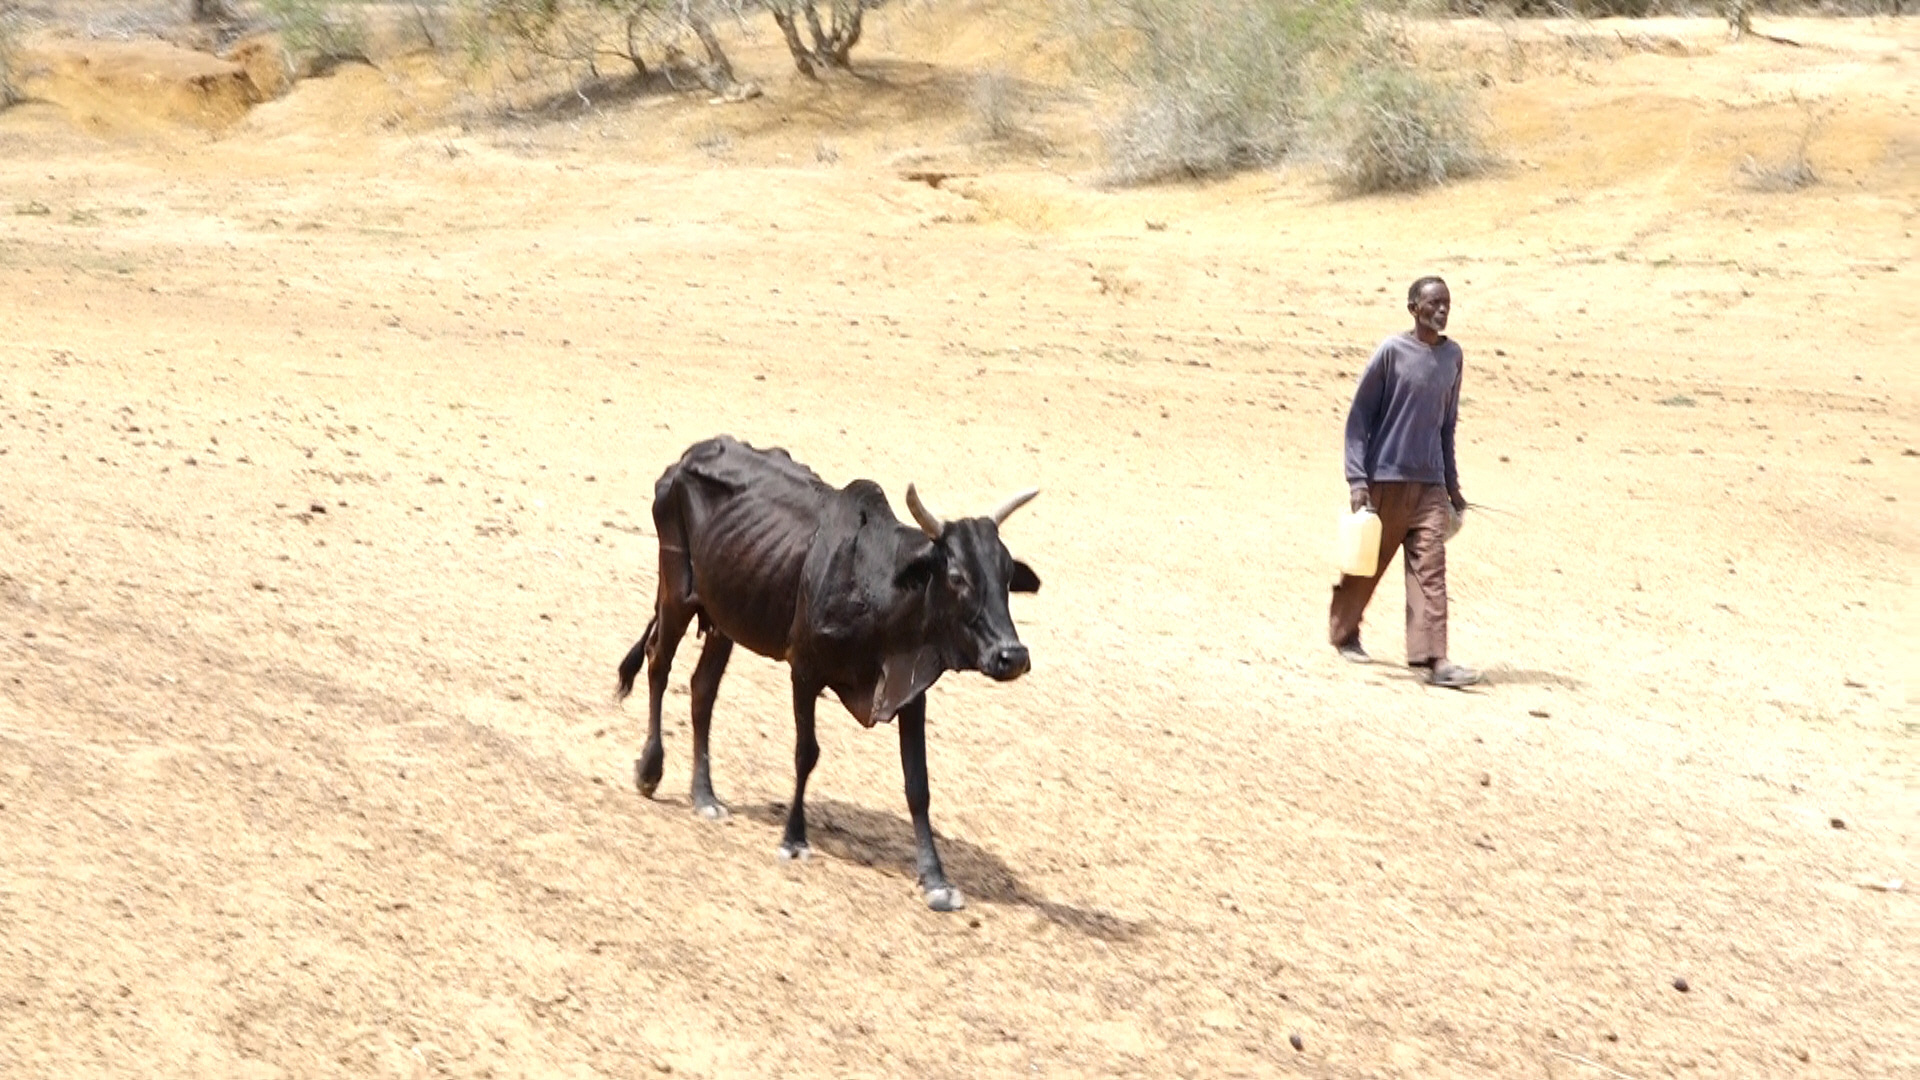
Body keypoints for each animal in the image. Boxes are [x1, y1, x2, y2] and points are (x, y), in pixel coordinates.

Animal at [616, 436, 1041, 912]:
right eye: (956, 576)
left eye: (1007, 575)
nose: (1012, 655)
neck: (877, 588)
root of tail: (689, 457)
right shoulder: (804, 669)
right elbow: (807, 753)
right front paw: (793, 839)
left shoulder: (911, 688)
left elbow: (918, 784)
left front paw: (936, 880)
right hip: (677, 590)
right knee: (658, 664)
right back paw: (650, 769)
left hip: (727, 615)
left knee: (701, 690)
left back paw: (704, 796)